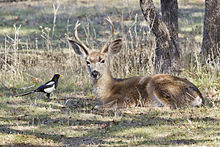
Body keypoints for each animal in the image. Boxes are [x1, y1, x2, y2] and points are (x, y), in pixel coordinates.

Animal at [68, 17, 205, 109]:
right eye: (87, 62)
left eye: (103, 60)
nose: (95, 73)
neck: (107, 92)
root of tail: (199, 96)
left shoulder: (128, 98)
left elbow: (99, 107)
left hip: (161, 86)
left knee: (171, 106)